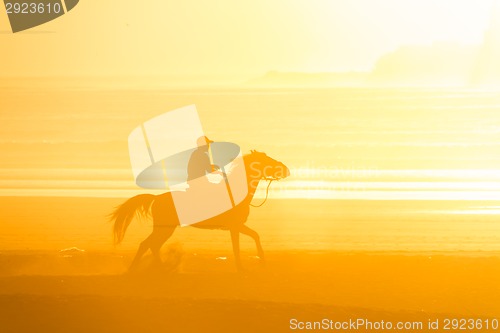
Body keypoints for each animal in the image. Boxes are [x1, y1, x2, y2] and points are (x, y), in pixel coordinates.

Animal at [109, 150, 290, 270]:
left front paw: (261, 260)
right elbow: (237, 247)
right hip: (164, 229)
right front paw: (242, 267)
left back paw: (159, 268)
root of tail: (156, 198)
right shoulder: (235, 227)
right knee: (147, 244)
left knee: (152, 245)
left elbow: (255, 236)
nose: (286, 169)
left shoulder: (238, 226)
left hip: (165, 229)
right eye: (267, 160)